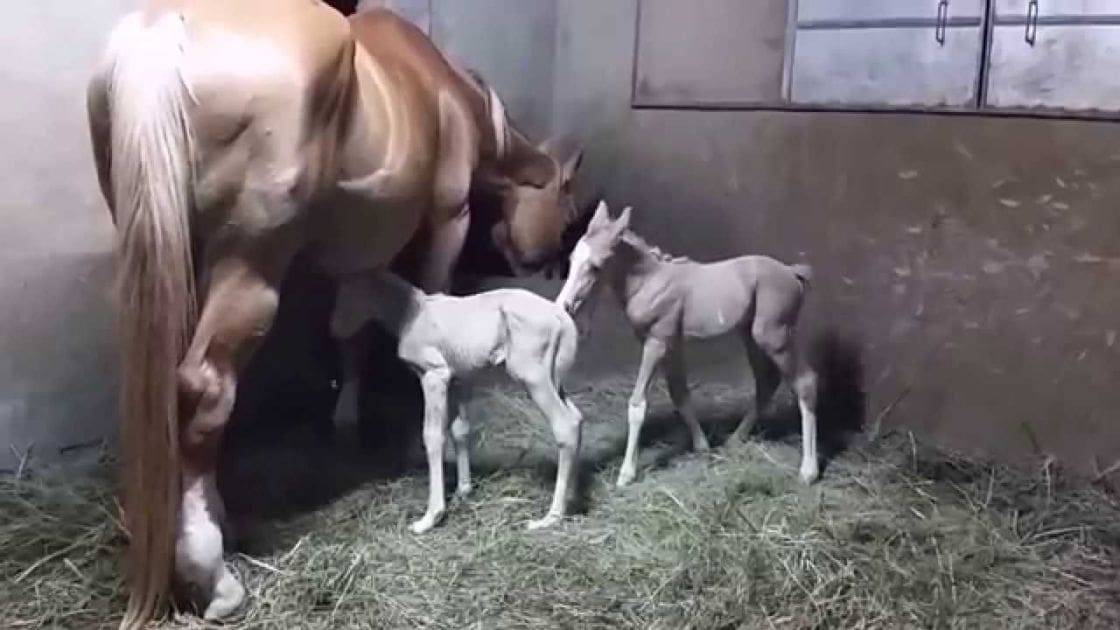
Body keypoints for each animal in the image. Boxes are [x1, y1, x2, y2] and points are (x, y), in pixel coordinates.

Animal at [332, 271, 583, 533]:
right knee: (576, 419)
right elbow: (460, 430)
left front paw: (431, 517)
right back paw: (572, 497)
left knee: (564, 425)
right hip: (554, 376)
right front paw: (464, 491)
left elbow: (433, 435)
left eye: (354, 295)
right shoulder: (458, 378)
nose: (335, 331)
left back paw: (551, 516)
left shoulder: (434, 375)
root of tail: (562, 317)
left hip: (533, 377)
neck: (413, 313)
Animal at [555, 202, 820, 487]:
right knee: (766, 383)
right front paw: (702, 445)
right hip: (750, 337)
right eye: (571, 259)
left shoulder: (656, 343)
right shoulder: (671, 345)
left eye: (595, 266)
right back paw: (735, 440)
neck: (649, 282)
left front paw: (626, 474)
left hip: (775, 336)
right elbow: (680, 394)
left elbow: (638, 404)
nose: (564, 306)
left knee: (805, 382)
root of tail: (792, 273)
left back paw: (808, 471)